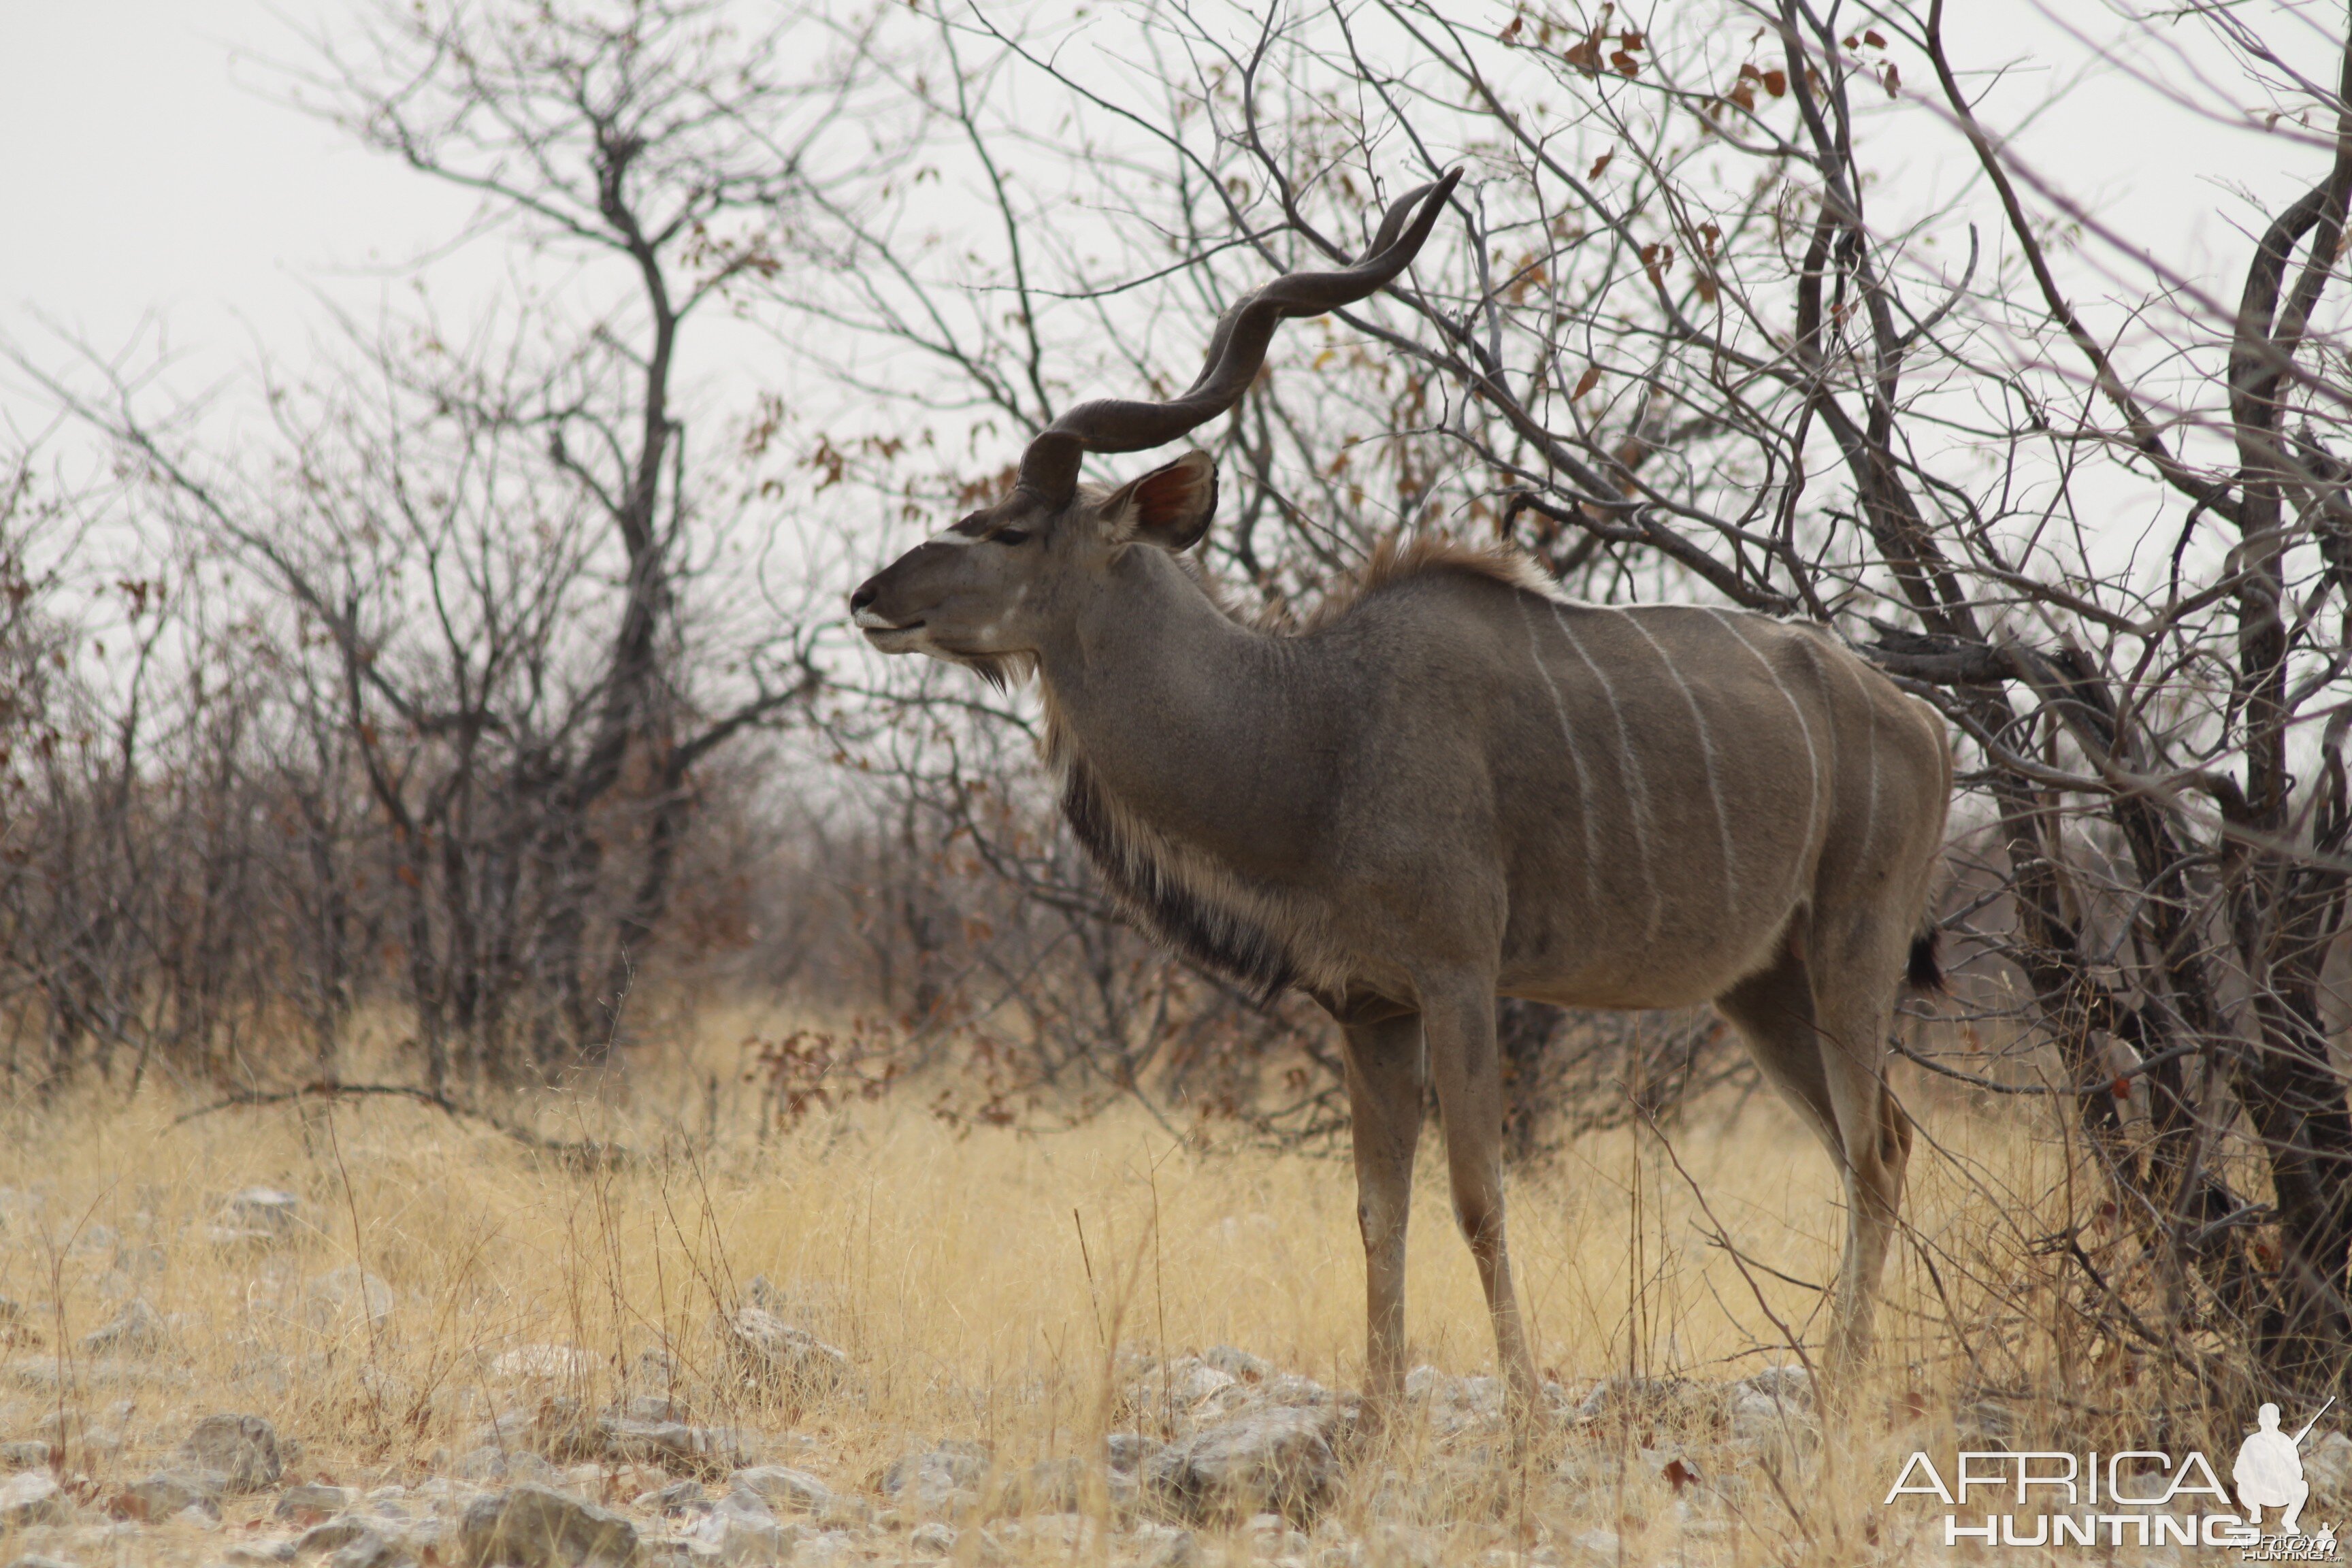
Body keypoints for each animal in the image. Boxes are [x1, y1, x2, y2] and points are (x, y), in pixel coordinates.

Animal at [847, 172, 1947, 1410]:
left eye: (1009, 528)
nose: (870, 596)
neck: (1311, 725)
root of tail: (1921, 719)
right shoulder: (1366, 1004)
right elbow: (1378, 1212)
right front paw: (1377, 1418)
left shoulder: (1458, 978)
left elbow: (1477, 1199)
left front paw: (1526, 1412)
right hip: (1761, 983)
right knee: (1878, 1138)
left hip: (1852, 948)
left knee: (1874, 1149)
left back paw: (1842, 1391)